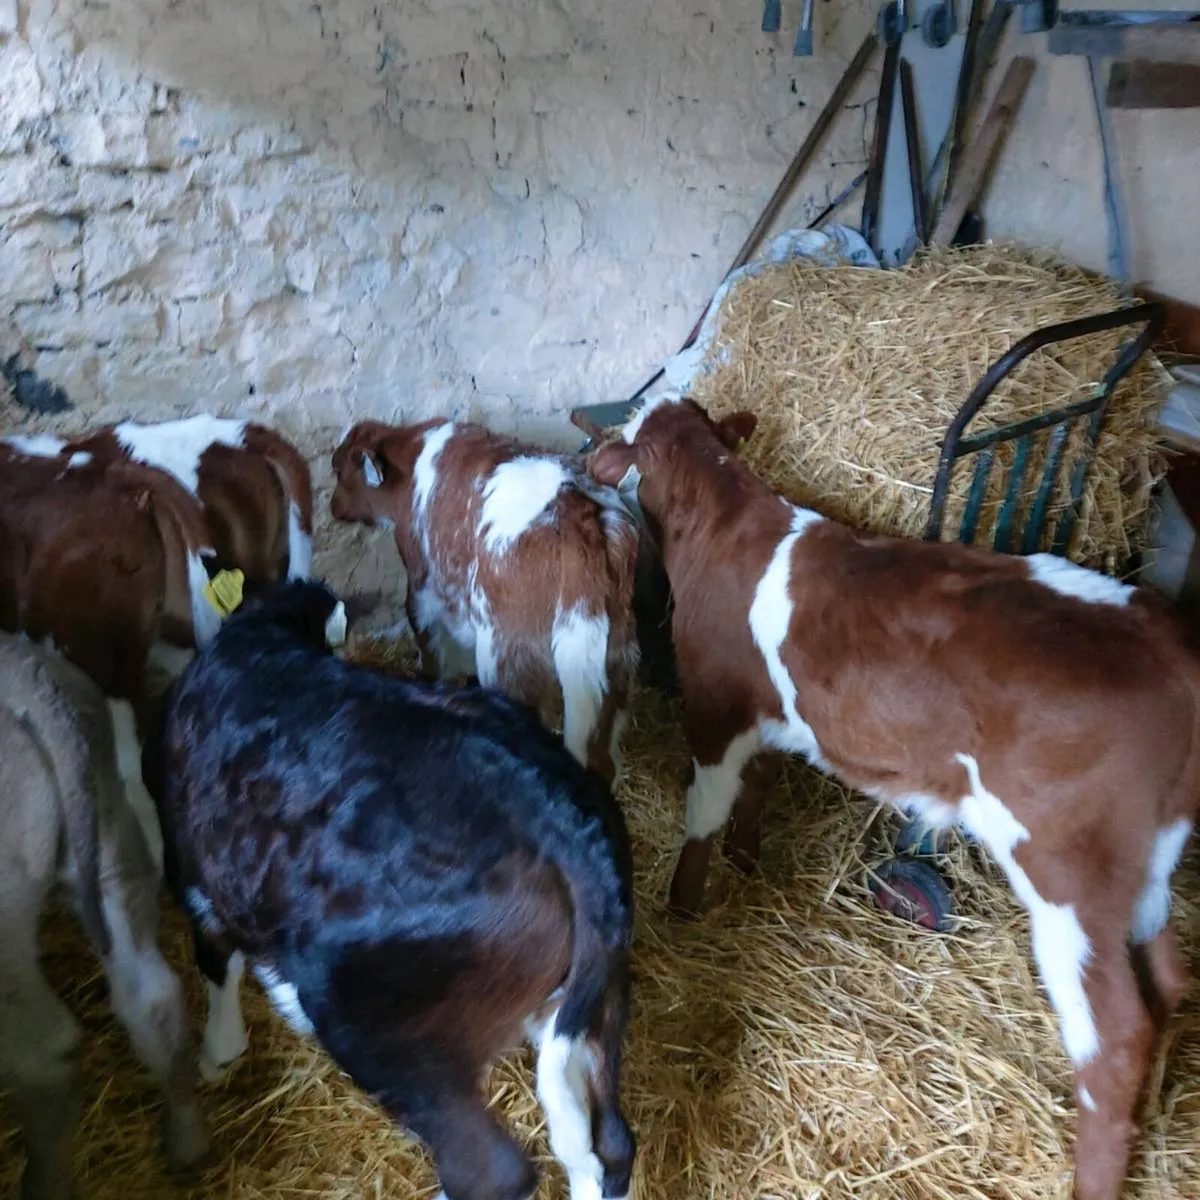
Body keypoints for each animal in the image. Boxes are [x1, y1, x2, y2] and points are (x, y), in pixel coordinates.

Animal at [142, 579, 636, 1200]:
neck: (265, 637)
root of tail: (559, 818)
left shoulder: (187, 861)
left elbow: (215, 959)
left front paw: (217, 1052)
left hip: (383, 1023)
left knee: (493, 1170)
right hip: (598, 1000)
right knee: (605, 1144)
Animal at [330, 419, 639, 783]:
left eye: (339, 471)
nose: (333, 507)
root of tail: (578, 516)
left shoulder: (421, 589)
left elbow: (431, 651)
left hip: (506, 656)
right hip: (617, 664)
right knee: (603, 757)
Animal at [588, 392, 1200, 1200]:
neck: (728, 525)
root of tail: (1166, 640)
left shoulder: (716, 706)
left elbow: (704, 813)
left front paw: (685, 905)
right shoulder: (779, 716)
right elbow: (757, 790)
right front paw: (747, 862)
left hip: (1071, 877)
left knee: (1116, 1037)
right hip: (1152, 863)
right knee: (1169, 982)